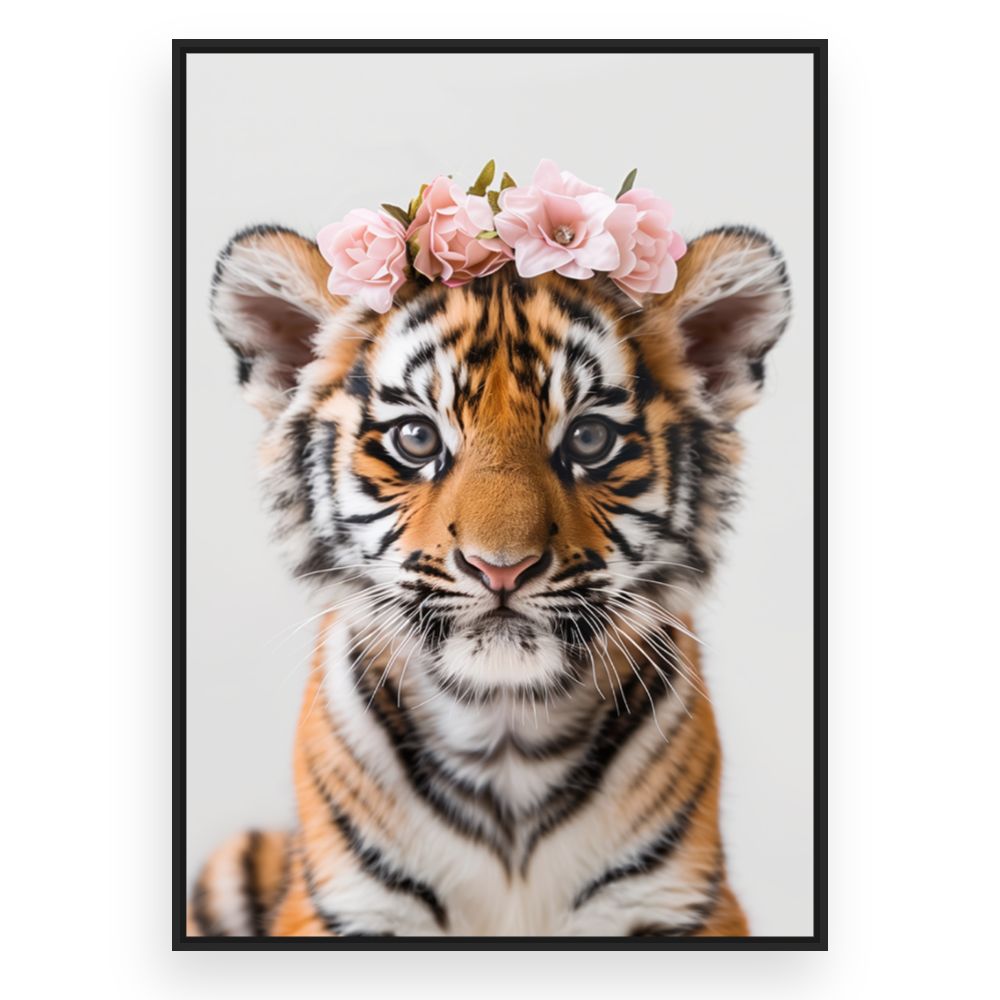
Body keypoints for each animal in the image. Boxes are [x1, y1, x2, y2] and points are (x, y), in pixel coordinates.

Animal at [187, 219, 791, 938]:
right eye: (417, 438)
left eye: (589, 440)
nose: (501, 567)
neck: (505, 733)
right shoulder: (345, 906)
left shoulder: (676, 902)